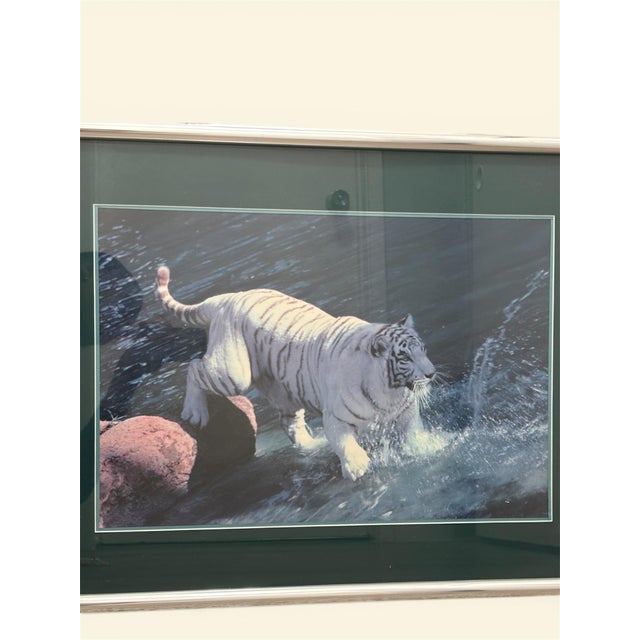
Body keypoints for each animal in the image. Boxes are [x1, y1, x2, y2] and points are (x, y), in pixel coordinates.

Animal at [156, 266, 436, 480]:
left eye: (424, 350)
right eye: (405, 358)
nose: (432, 373)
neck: (389, 389)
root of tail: (228, 297)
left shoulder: (406, 409)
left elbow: (412, 430)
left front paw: (424, 447)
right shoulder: (336, 416)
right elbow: (344, 443)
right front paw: (357, 468)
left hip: (284, 389)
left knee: (289, 422)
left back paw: (313, 446)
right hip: (232, 372)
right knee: (195, 368)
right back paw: (195, 413)